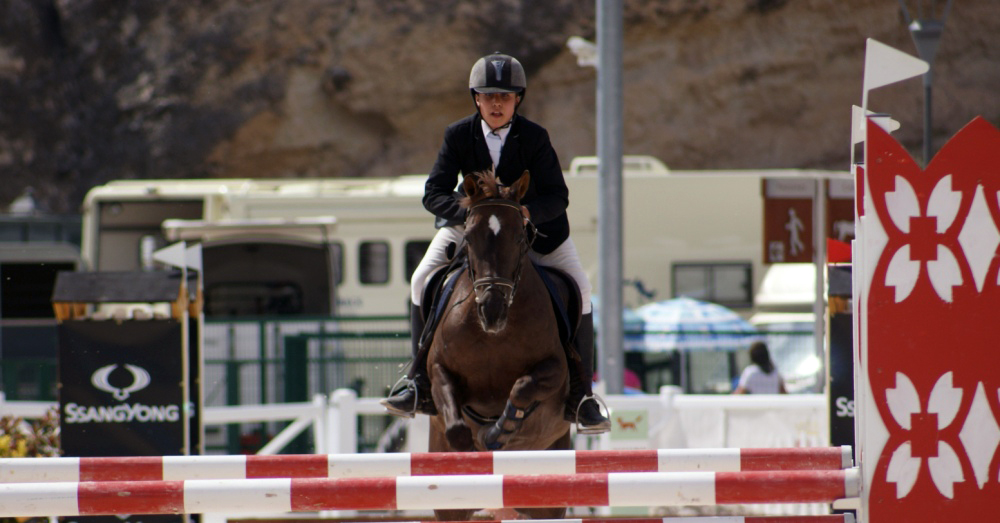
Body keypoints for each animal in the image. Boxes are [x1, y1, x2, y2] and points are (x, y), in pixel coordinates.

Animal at [424, 170, 580, 520]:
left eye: (521, 238)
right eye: (469, 238)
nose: (491, 311)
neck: (494, 337)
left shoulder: (556, 369)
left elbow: (522, 388)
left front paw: (497, 432)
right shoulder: (438, 369)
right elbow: (457, 429)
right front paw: (474, 455)